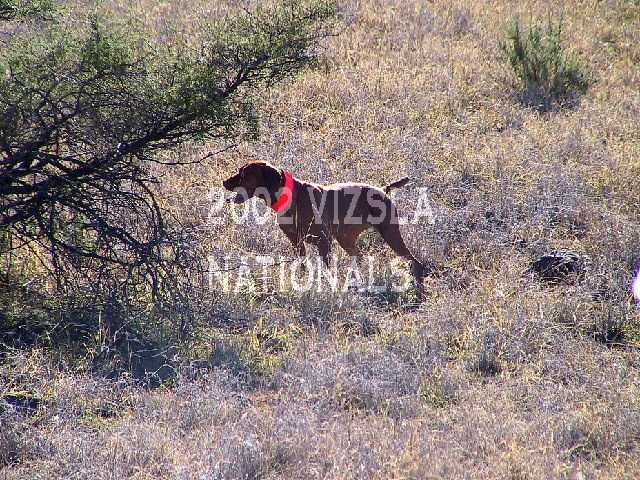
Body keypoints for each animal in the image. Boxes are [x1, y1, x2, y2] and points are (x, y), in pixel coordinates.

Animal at [222, 161, 425, 299]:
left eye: (243, 174)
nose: (224, 181)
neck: (290, 196)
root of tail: (383, 190)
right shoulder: (297, 242)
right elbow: (303, 264)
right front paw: (303, 281)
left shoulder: (323, 241)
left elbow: (327, 270)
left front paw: (328, 286)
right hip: (346, 237)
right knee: (358, 257)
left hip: (390, 233)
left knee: (415, 262)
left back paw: (417, 286)